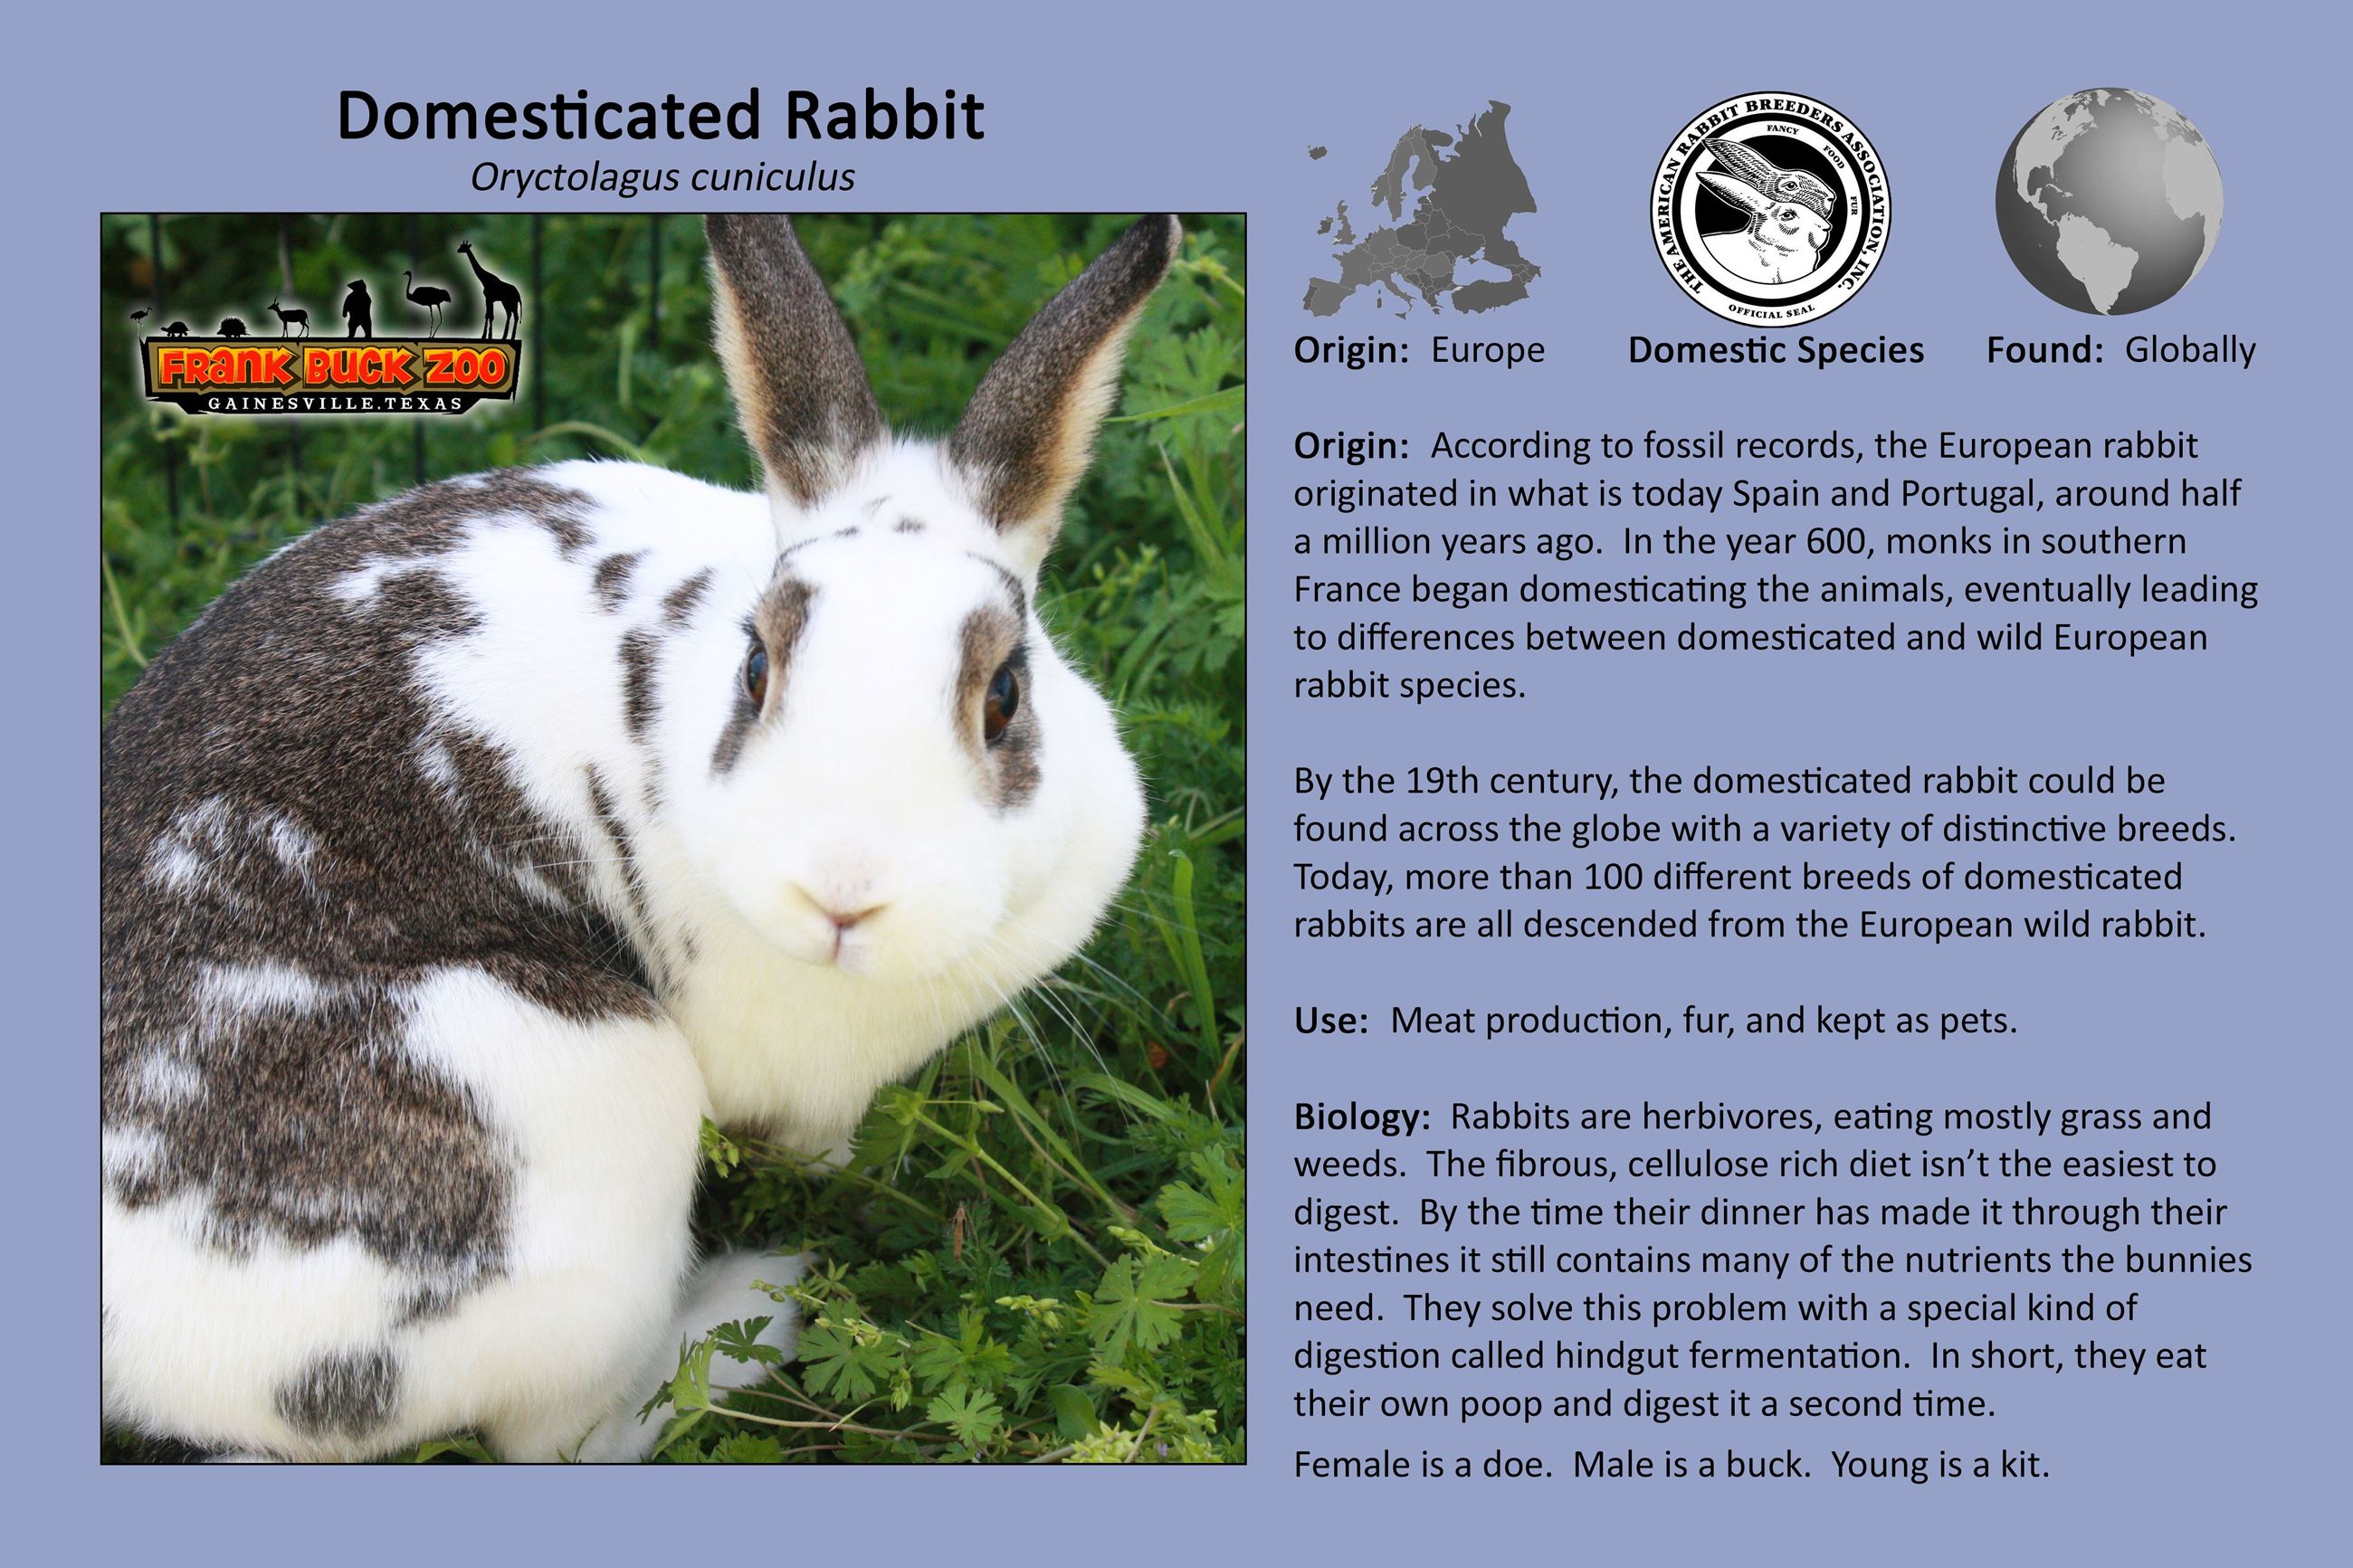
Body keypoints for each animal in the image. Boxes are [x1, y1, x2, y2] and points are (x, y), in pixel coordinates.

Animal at [100, 214, 1180, 1461]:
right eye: (755, 669)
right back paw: (764, 1304)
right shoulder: (801, 1084)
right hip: (592, 1142)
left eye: (1005, 693)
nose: (842, 893)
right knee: (575, 1435)